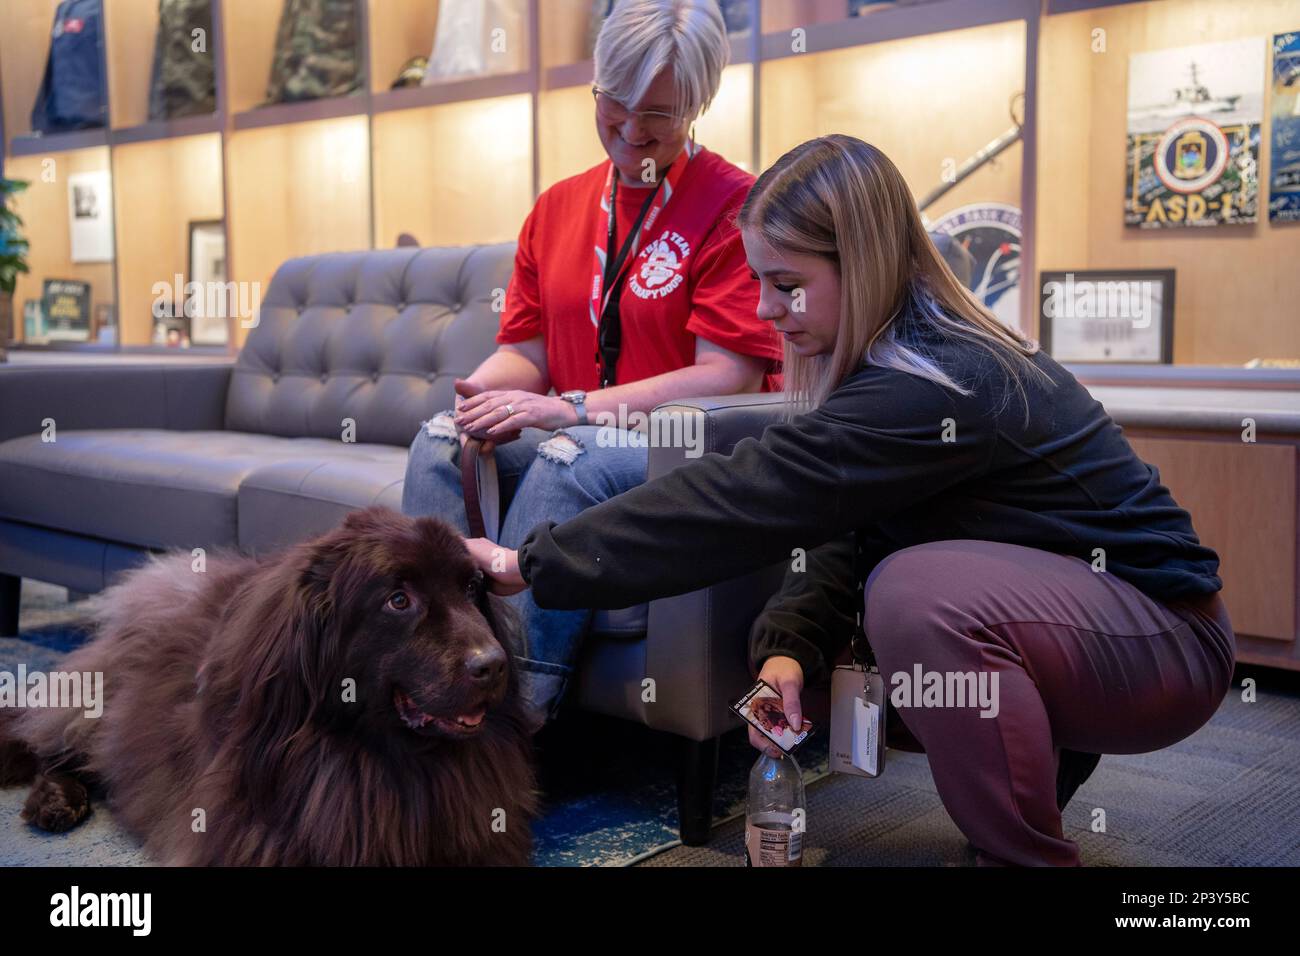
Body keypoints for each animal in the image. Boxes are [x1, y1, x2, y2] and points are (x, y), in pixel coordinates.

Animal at [0, 509, 535, 868]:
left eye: (471, 589)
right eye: (399, 601)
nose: (493, 664)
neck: (381, 759)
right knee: (54, 746)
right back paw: (55, 802)